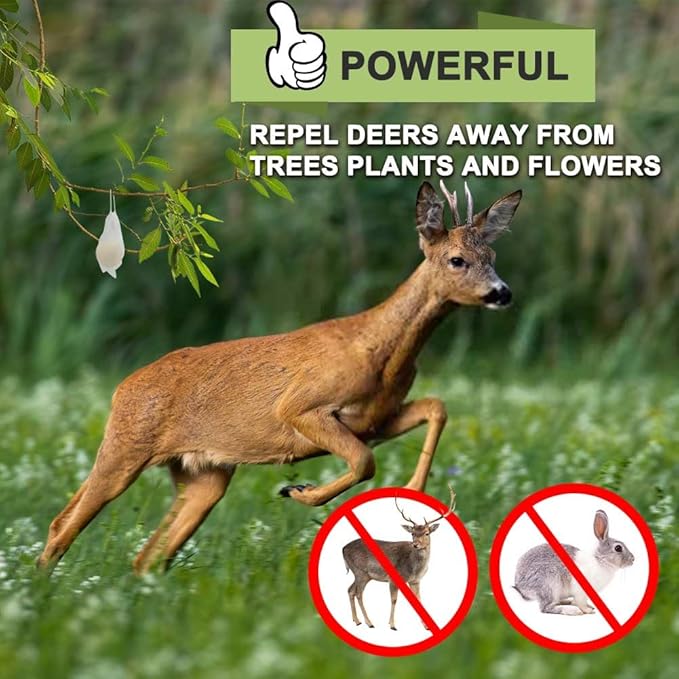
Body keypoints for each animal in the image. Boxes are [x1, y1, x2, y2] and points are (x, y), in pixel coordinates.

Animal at [37, 180, 521, 575]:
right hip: (127, 444)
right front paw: (298, 491)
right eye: (457, 260)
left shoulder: (378, 419)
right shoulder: (301, 406)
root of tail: (121, 389)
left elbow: (436, 407)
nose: (502, 293)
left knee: (148, 556)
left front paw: (414, 490)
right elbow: (363, 461)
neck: (379, 351)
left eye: (493, 256)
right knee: (64, 523)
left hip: (203, 475)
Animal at [343, 486, 456, 631]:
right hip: (360, 572)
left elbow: (419, 600)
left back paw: (357, 621)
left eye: (427, 533)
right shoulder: (393, 579)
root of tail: (343, 549)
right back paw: (369, 622)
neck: (415, 568)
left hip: (364, 575)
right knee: (358, 593)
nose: (415, 544)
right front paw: (392, 625)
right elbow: (394, 600)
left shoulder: (415, 581)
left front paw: (426, 626)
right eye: (412, 533)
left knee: (350, 590)